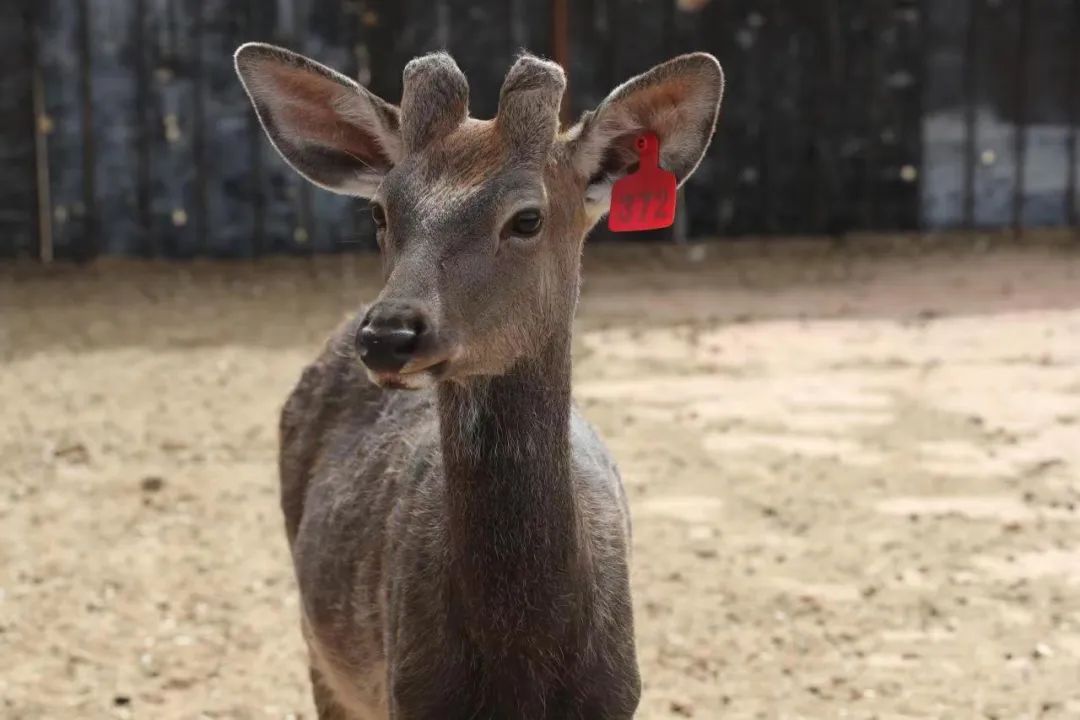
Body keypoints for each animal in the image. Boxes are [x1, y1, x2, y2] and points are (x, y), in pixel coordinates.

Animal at [236, 42, 725, 716]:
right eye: (380, 211)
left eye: (527, 218)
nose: (388, 334)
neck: (517, 672)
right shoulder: (404, 692)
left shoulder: (620, 696)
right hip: (322, 656)